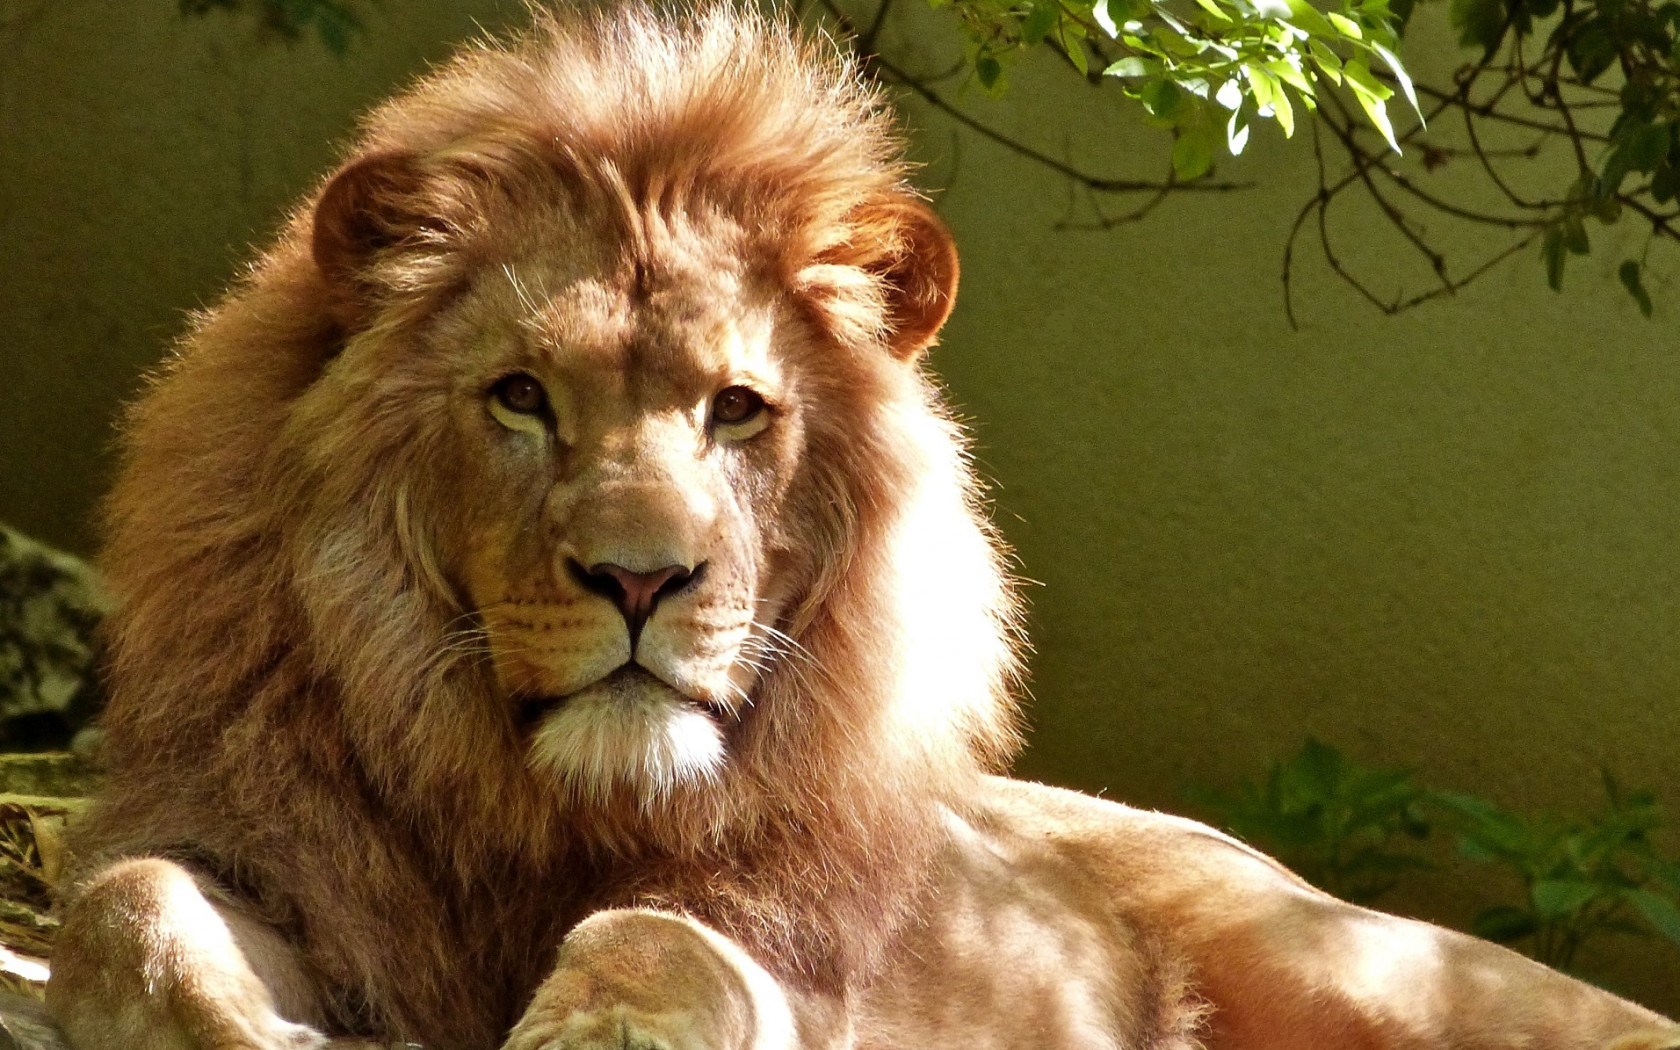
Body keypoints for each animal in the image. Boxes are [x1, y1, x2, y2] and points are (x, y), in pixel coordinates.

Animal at [44, 6, 1680, 1050]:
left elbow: (662, 943)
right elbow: (125, 909)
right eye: (520, 398)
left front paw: (600, 1030)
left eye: (737, 410)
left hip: (1379, 971)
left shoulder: (790, 948)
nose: (641, 579)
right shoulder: (258, 845)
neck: (541, 813)